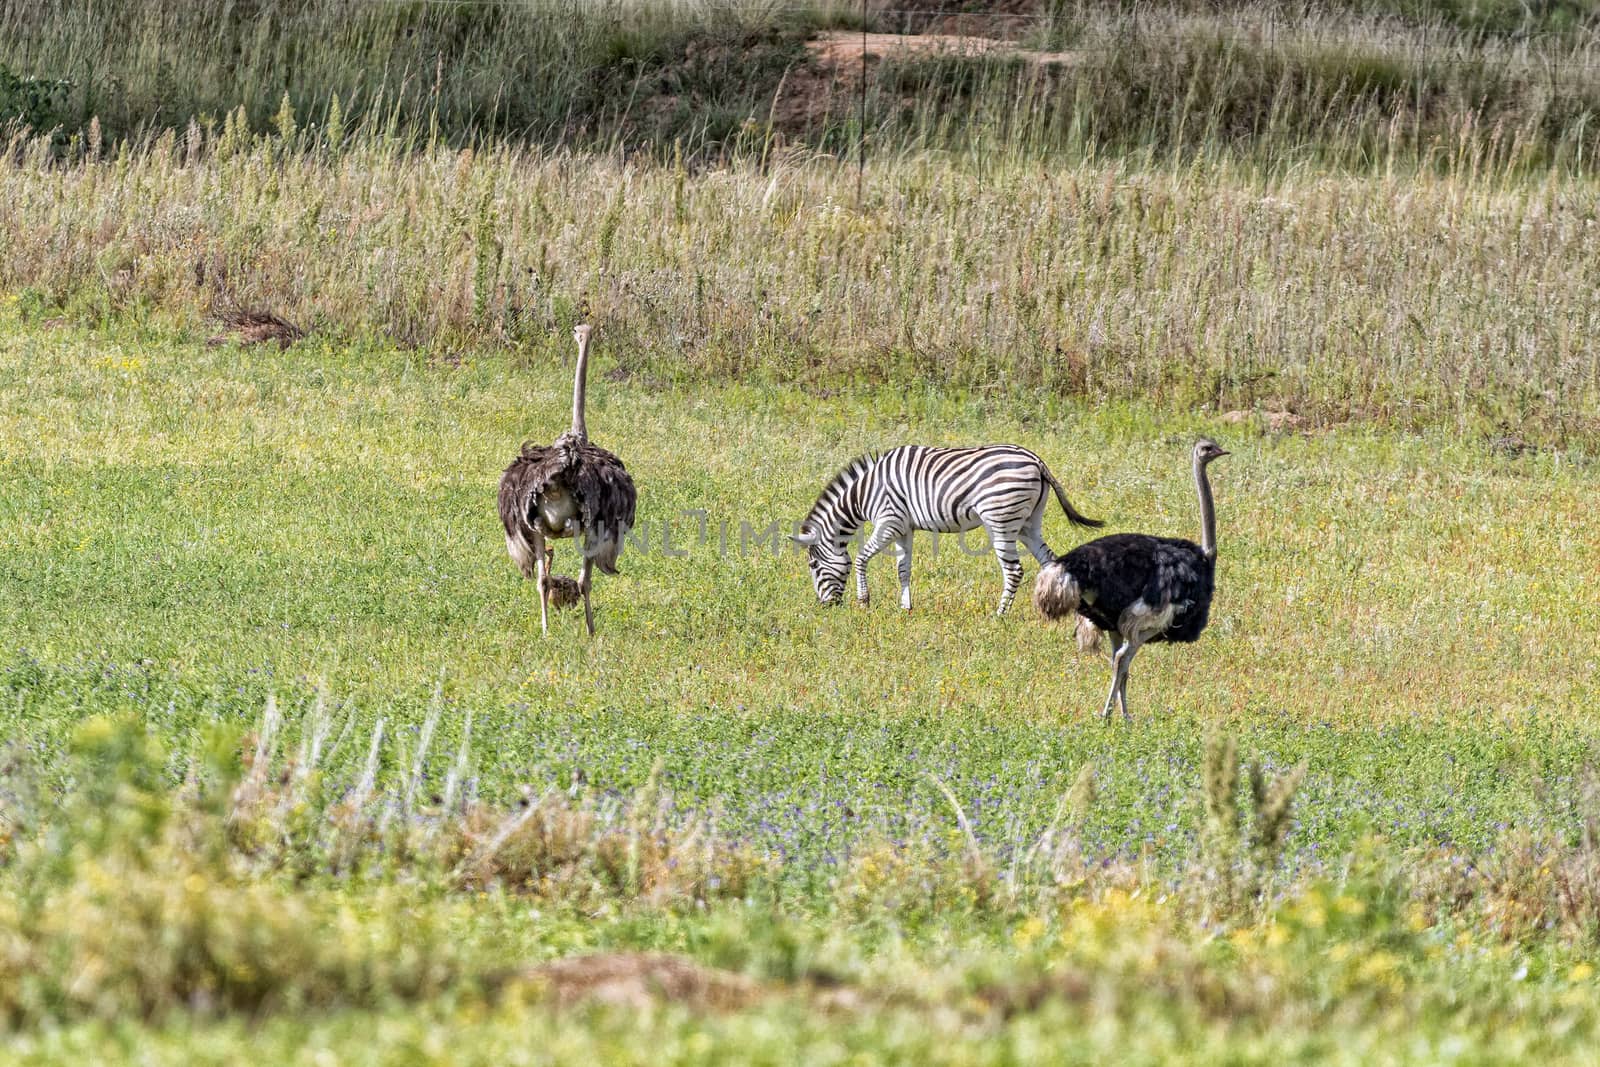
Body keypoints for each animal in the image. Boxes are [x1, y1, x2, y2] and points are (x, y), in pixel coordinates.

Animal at [790, 444, 1100, 614]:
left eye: (813, 566)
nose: (826, 607)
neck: (864, 493)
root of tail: (1036, 460)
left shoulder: (889, 521)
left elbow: (862, 558)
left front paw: (864, 601)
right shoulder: (904, 527)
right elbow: (903, 569)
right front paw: (906, 608)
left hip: (1000, 520)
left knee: (1014, 570)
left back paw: (999, 614)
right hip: (1028, 524)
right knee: (1050, 562)